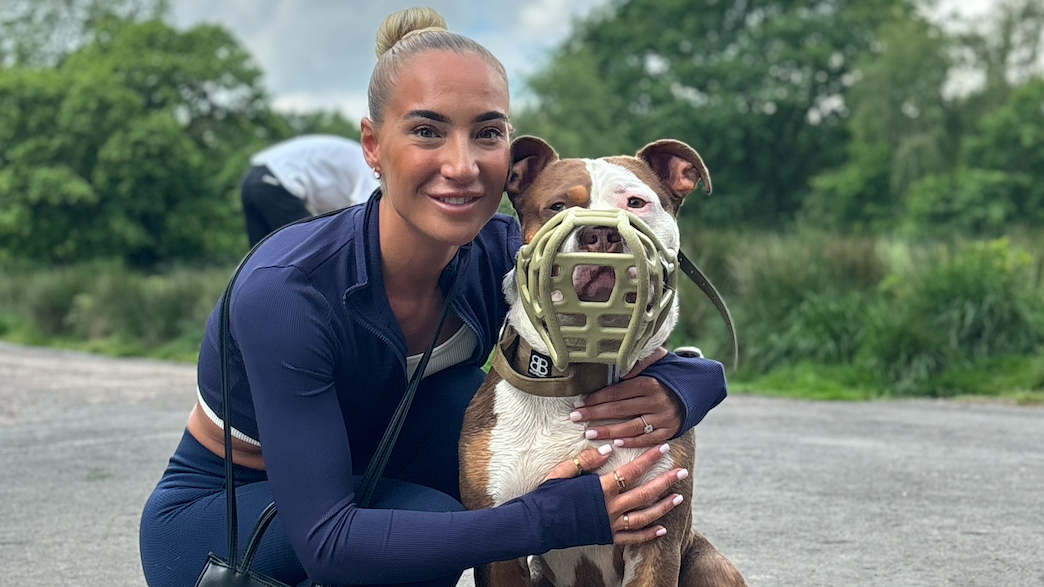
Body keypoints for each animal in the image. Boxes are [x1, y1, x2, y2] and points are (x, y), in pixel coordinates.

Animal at [459, 136, 747, 587]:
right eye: (557, 206)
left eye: (636, 202)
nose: (600, 233)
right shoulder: (498, 543)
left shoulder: (657, 538)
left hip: (707, 562)